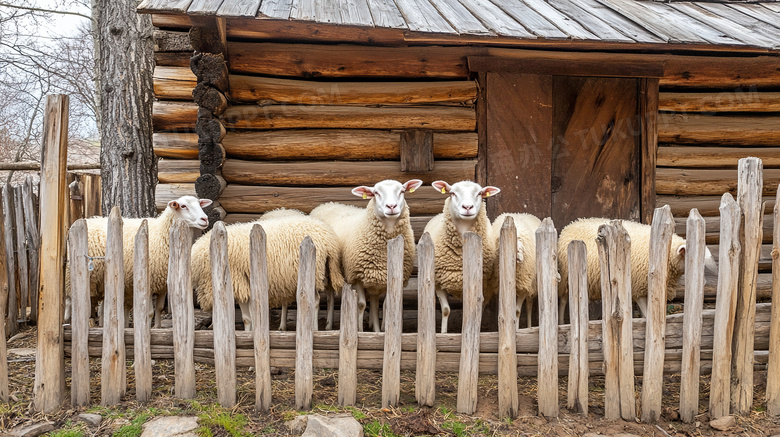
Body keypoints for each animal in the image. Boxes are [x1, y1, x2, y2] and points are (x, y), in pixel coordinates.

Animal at [64, 196, 212, 326]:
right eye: (183, 206)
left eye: (199, 204)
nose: (205, 219)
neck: (162, 233)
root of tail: (87, 220)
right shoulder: (148, 282)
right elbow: (150, 312)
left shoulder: (162, 285)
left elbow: (158, 309)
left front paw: (157, 328)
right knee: (72, 303)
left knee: (103, 308)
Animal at [191, 211, 344, 330]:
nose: (203, 220)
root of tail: (329, 238)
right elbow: (251, 316)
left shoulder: (238, 283)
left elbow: (246, 318)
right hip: (325, 270)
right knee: (329, 295)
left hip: (313, 271)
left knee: (315, 301)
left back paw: (314, 328)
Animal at [310, 179, 420, 332]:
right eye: (376, 193)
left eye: (402, 191)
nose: (391, 206)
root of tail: (327, 204)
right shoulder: (356, 276)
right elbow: (361, 304)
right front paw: (360, 330)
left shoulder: (386, 277)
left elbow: (385, 305)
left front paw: (380, 331)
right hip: (327, 267)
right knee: (330, 295)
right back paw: (328, 325)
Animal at [426, 179, 500, 332]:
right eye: (452, 193)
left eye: (479, 193)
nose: (467, 207)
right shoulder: (438, 282)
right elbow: (446, 310)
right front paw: (443, 333)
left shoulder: (481, 283)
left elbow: (476, 306)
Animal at [556, 217, 720, 316]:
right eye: (692, 258)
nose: (704, 283)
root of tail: (570, 225)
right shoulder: (638, 287)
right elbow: (647, 314)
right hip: (566, 278)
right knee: (563, 301)